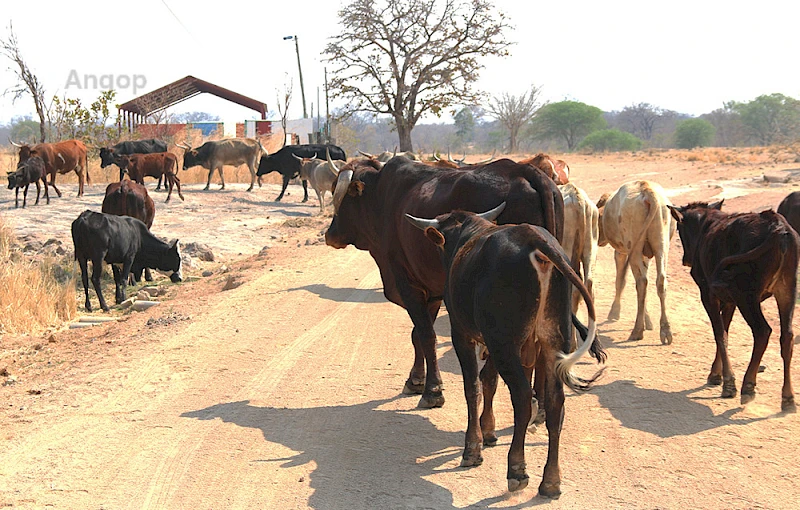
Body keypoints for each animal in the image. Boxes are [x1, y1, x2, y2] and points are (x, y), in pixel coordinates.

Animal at [322, 153, 604, 408]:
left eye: (339, 193)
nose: (330, 234)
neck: (381, 197)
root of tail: (525, 171)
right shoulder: (432, 291)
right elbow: (417, 335)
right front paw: (416, 379)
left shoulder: (407, 283)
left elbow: (426, 334)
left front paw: (432, 390)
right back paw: (542, 402)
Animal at [406, 204, 600, 498]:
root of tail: (534, 240)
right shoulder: (494, 342)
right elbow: (489, 381)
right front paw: (488, 431)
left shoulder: (464, 334)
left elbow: (473, 387)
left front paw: (473, 447)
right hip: (553, 340)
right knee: (555, 403)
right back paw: (551, 480)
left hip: (505, 345)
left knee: (522, 397)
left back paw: (517, 469)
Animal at [596, 181, 680, 344]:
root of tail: (648, 192)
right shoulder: (645, 254)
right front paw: (648, 321)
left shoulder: (622, 252)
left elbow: (620, 281)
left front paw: (614, 312)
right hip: (661, 242)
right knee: (660, 280)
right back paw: (665, 330)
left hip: (633, 245)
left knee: (641, 282)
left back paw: (637, 331)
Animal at [672, 201, 796, 412]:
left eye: (679, 228)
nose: (685, 259)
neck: (705, 226)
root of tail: (778, 226)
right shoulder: (729, 300)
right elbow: (725, 330)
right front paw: (716, 374)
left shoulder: (708, 293)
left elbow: (720, 333)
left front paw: (728, 382)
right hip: (786, 290)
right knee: (786, 336)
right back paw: (788, 398)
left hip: (747, 295)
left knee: (762, 331)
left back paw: (748, 387)